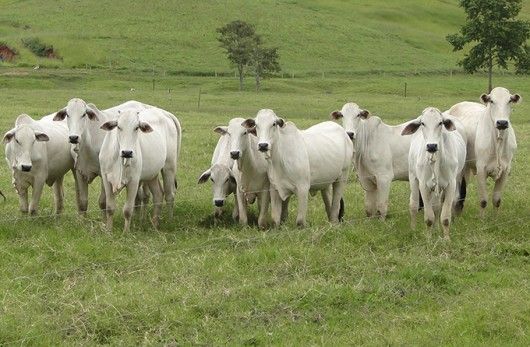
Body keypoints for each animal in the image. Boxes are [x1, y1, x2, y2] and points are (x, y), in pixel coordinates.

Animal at [402, 109, 464, 242]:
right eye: (422, 123)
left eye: (440, 123)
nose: (431, 146)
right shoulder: (424, 185)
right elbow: (429, 217)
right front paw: (429, 239)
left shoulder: (451, 184)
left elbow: (445, 216)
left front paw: (446, 239)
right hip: (413, 177)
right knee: (413, 204)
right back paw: (413, 229)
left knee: (436, 206)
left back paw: (436, 229)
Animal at [446, 87, 520, 218]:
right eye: (491, 101)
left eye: (509, 100)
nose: (502, 123)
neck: (498, 140)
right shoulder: (481, 170)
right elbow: (483, 200)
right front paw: (482, 219)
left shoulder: (506, 170)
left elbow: (497, 199)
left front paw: (495, 218)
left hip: (466, 168)